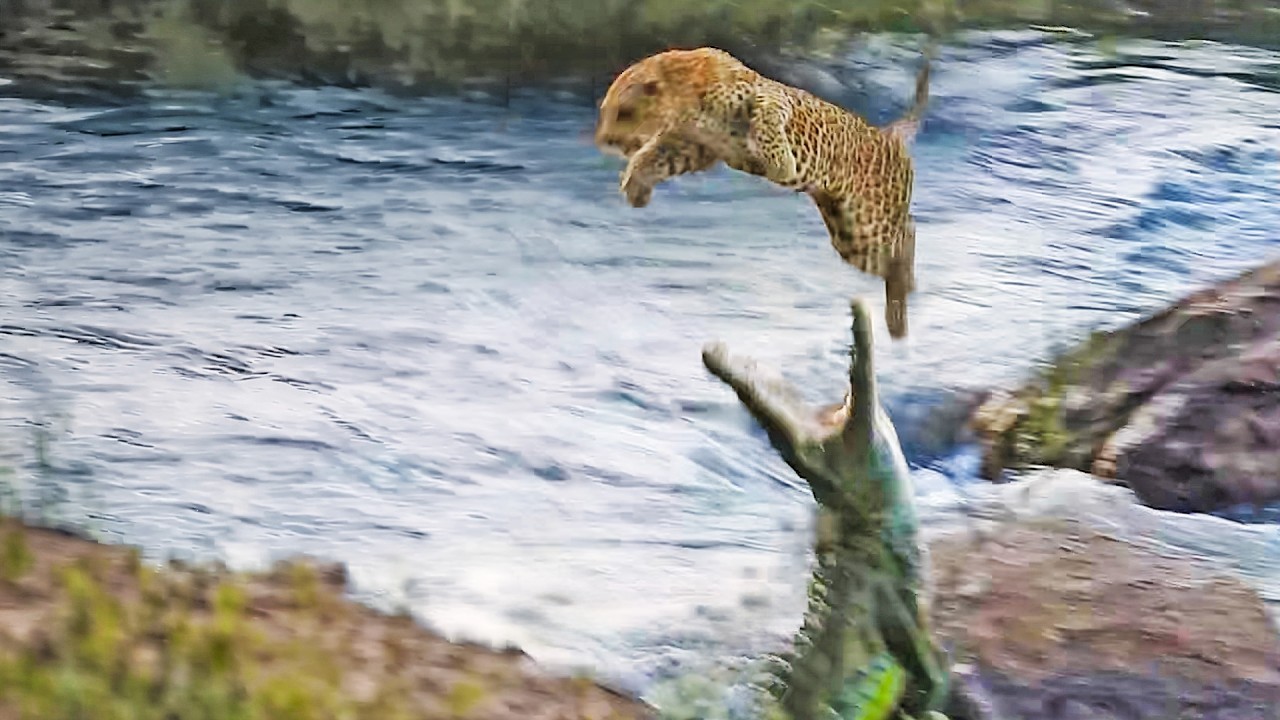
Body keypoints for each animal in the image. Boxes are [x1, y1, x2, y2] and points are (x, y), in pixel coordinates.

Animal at [594, 45, 931, 266]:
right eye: (605, 111)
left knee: (906, 235)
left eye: (624, 112)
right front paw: (635, 185)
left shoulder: (768, 96)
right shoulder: (699, 146)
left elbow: (767, 122)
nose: (604, 141)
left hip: (875, 217)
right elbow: (655, 157)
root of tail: (889, 134)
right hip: (851, 228)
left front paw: (780, 164)